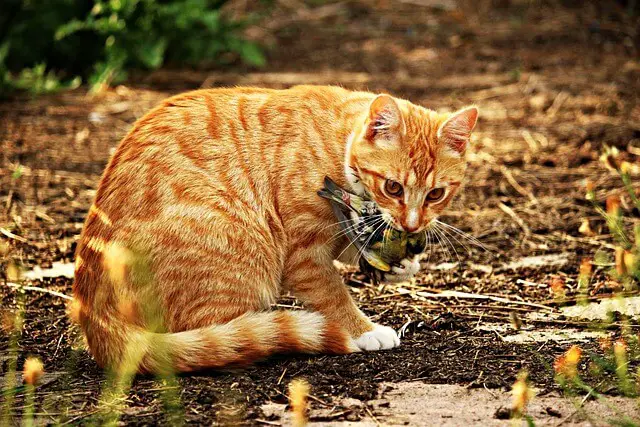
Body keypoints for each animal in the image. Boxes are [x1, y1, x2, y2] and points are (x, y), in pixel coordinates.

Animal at [72, 85, 478, 372]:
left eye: (437, 194)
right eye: (393, 187)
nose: (412, 223)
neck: (338, 146)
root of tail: (93, 316)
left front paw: (401, 263)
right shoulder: (304, 254)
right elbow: (334, 294)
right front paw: (364, 330)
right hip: (242, 249)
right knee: (216, 338)